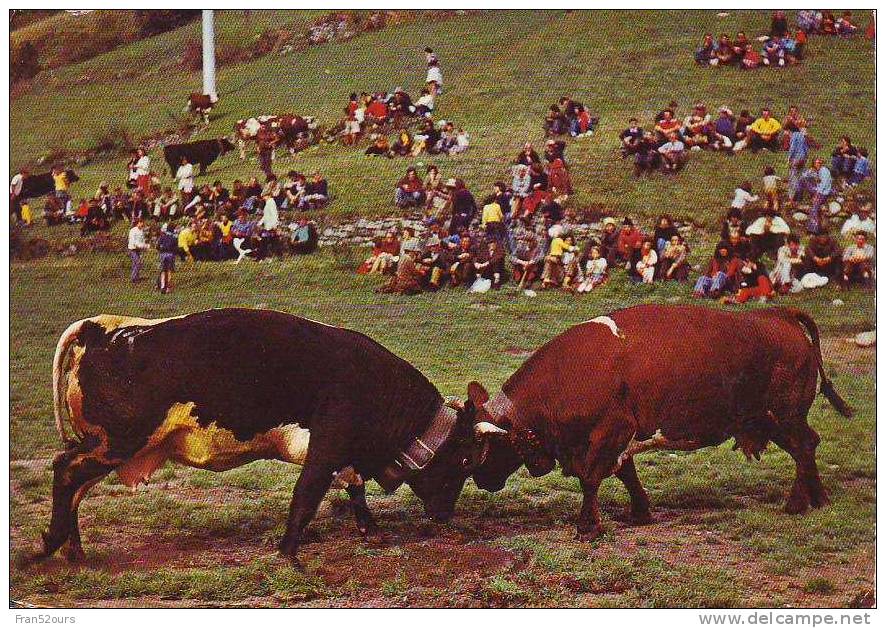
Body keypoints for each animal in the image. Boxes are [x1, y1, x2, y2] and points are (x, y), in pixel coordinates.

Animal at [450, 304, 852, 540]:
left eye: (475, 448)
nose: (482, 482)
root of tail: (778, 315)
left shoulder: (612, 431)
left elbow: (591, 477)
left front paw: (587, 527)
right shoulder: (618, 438)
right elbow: (626, 472)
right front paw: (641, 512)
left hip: (784, 414)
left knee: (804, 446)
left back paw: (797, 503)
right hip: (769, 419)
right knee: (808, 445)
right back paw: (818, 497)